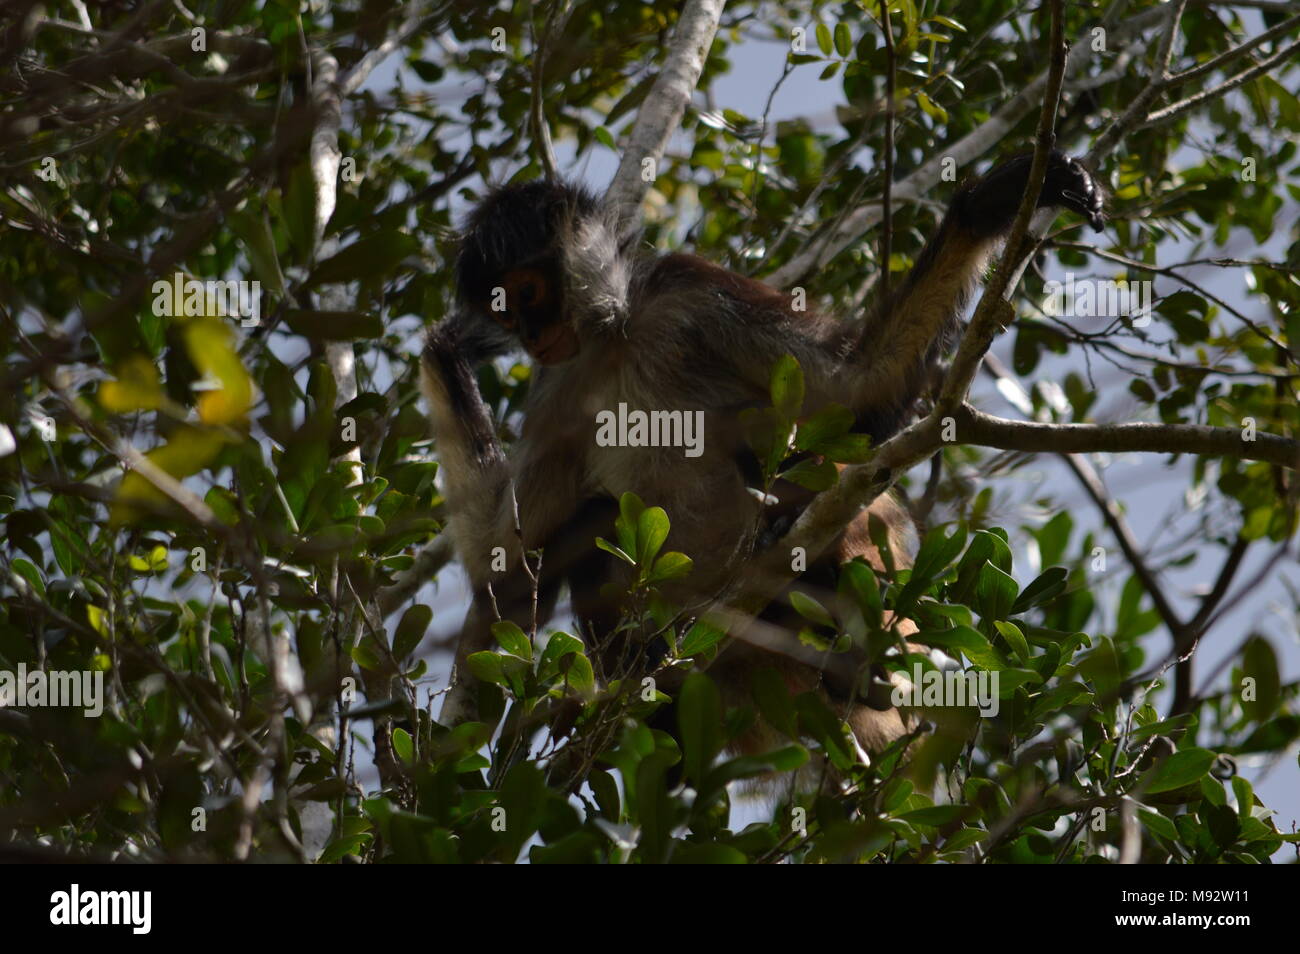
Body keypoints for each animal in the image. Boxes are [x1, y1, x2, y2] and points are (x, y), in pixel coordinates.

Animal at [421, 149, 1102, 764]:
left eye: (528, 292)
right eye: (507, 311)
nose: (532, 337)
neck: (614, 338)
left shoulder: (685, 290)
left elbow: (860, 391)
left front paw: (991, 204)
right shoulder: (557, 385)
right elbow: (502, 570)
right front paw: (448, 349)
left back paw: (843, 643)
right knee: (593, 516)